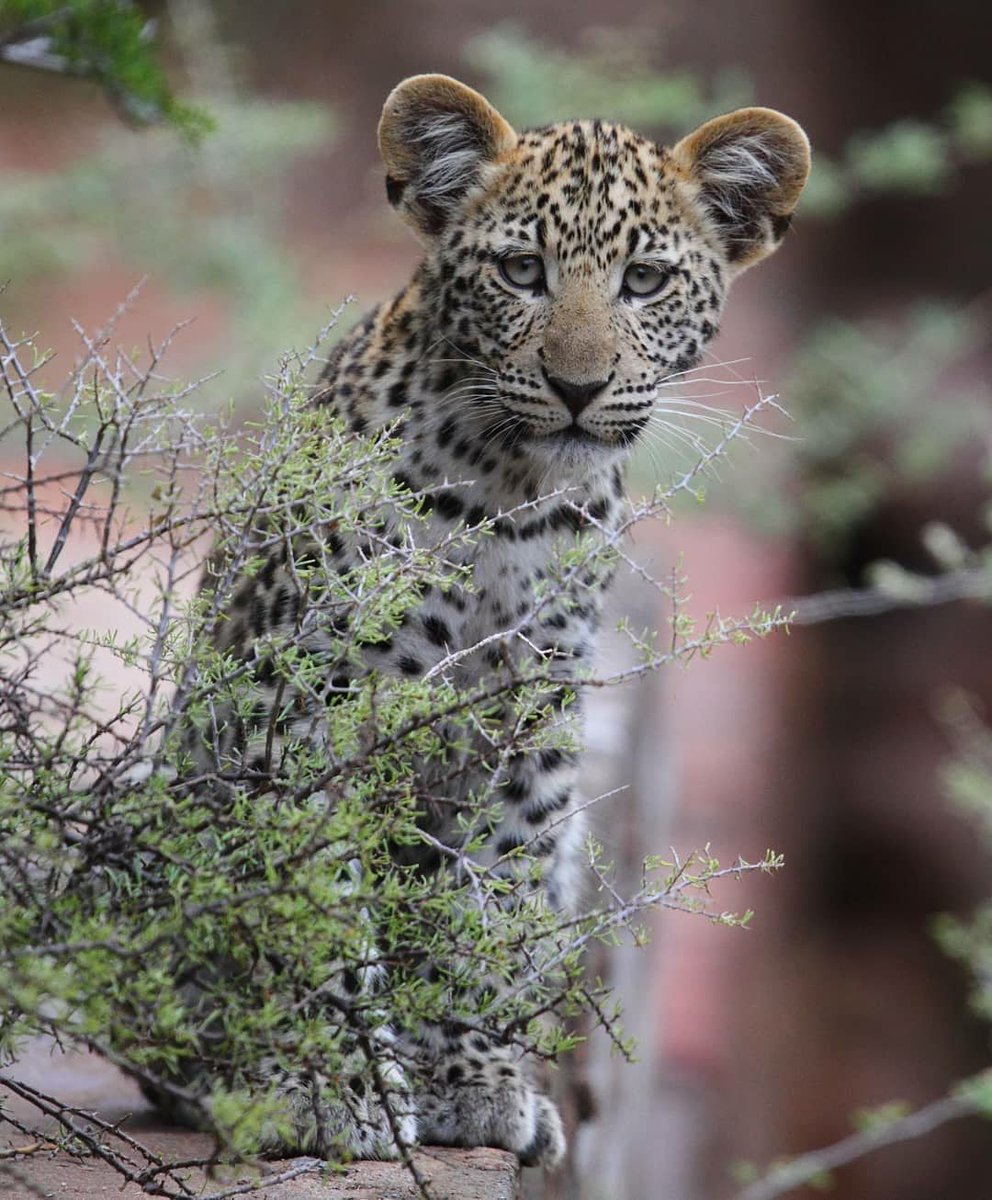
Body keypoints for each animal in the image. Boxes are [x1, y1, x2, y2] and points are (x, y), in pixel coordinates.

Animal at [158, 73, 809, 1171]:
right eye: (520, 271)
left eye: (643, 280)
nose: (579, 388)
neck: (512, 485)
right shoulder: (310, 704)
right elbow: (318, 901)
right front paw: (329, 1083)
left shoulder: (531, 706)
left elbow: (487, 889)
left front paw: (474, 1076)